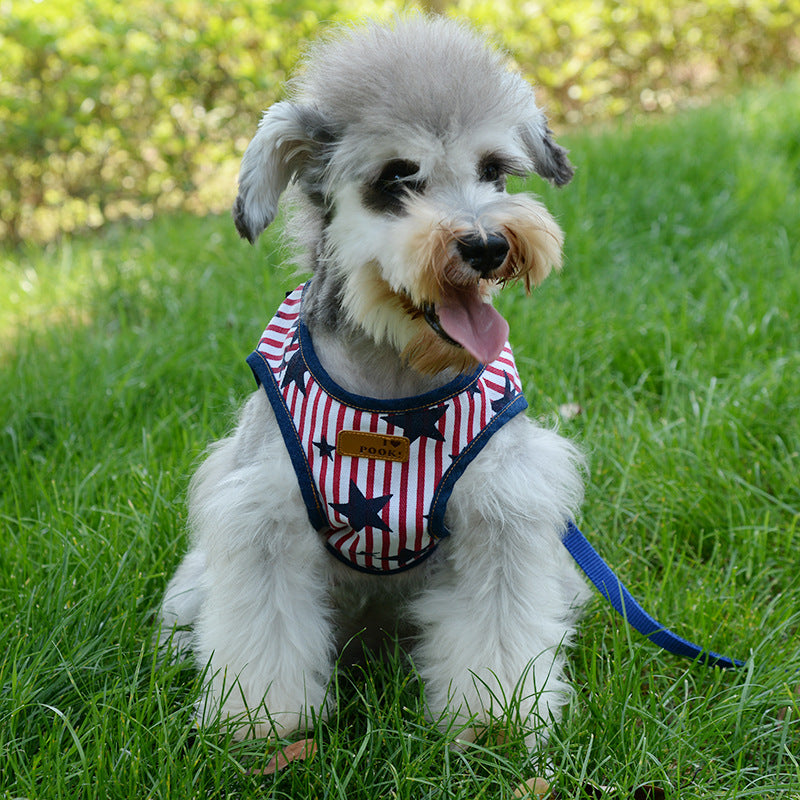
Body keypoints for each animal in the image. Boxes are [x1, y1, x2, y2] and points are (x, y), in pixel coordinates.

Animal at [159, 14, 592, 752]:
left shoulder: (502, 513)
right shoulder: (259, 518)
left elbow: (498, 629)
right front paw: (264, 724)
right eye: (397, 179)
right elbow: (265, 633)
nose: (487, 246)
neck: (396, 381)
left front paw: (495, 720)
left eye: (494, 171)